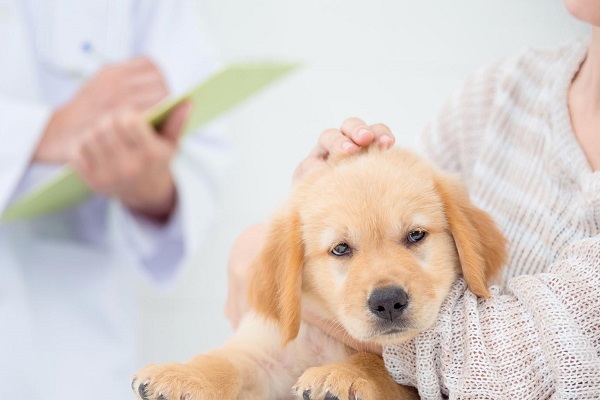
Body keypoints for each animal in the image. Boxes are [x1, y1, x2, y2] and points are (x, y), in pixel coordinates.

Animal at [132, 147, 506, 400]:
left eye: (416, 235)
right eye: (340, 249)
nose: (388, 302)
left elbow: (379, 366)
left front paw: (342, 376)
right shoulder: (269, 351)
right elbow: (227, 362)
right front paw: (182, 375)